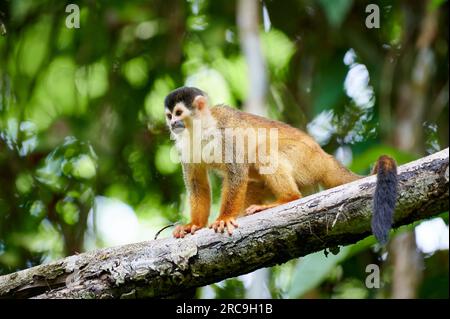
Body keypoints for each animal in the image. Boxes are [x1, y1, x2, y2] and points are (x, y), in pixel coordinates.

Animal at [165, 86, 398, 244]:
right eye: (169, 115)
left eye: (179, 113)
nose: (172, 124)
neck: (199, 130)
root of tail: (323, 156)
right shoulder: (185, 147)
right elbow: (197, 184)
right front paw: (194, 225)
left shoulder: (225, 133)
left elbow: (237, 172)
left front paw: (225, 217)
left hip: (304, 158)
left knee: (264, 151)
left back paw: (288, 198)